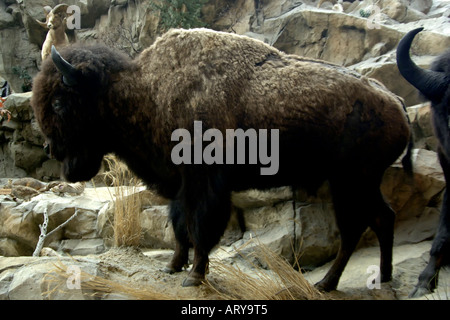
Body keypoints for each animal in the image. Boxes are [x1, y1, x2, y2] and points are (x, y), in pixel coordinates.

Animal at [30, 28, 412, 292]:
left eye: (60, 103)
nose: (50, 149)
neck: (144, 93)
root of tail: (395, 102)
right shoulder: (180, 184)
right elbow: (179, 226)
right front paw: (173, 266)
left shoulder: (204, 184)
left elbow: (199, 228)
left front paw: (195, 276)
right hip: (358, 183)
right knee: (383, 219)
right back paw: (383, 277)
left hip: (351, 182)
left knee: (355, 229)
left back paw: (327, 284)